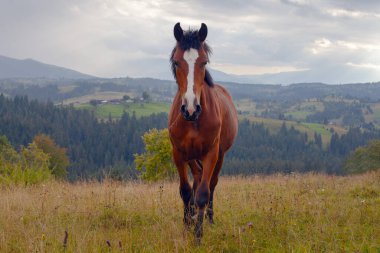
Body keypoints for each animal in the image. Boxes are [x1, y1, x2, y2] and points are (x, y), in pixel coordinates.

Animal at [168, 22, 238, 242]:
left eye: (204, 62)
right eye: (176, 62)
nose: (191, 109)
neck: (194, 121)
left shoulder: (211, 153)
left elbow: (203, 194)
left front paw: (198, 235)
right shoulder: (179, 153)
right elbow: (185, 191)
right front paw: (187, 225)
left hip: (220, 155)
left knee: (211, 185)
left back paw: (209, 219)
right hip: (192, 157)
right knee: (196, 179)